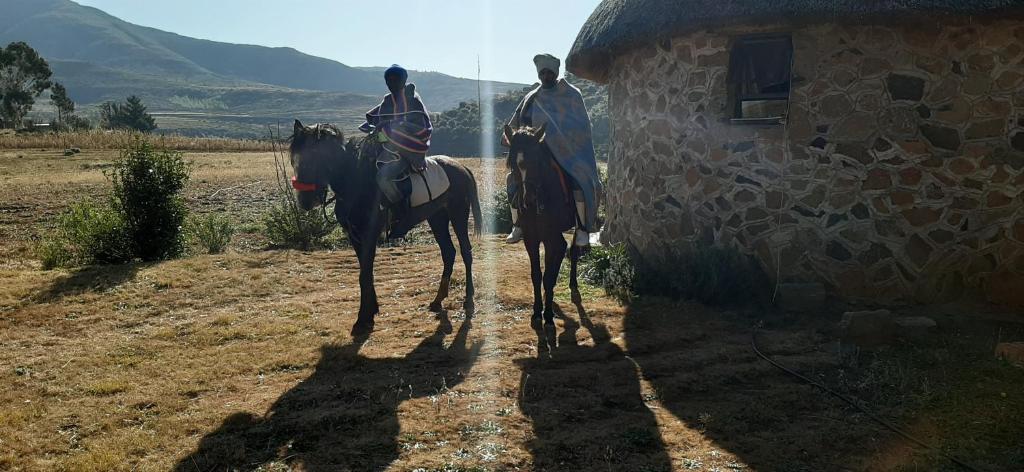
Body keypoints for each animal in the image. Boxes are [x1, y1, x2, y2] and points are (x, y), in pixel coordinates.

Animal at [288, 121, 479, 335]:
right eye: (294, 158)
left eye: (315, 155)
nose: (305, 201)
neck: (354, 180)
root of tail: (461, 167)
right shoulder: (354, 236)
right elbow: (365, 272)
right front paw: (370, 312)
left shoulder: (369, 234)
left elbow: (365, 274)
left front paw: (362, 319)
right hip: (437, 218)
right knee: (448, 252)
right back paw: (437, 300)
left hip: (458, 214)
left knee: (466, 252)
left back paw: (468, 300)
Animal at [501, 123, 581, 325]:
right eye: (512, 164)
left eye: (536, 160)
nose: (528, 200)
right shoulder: (532, 238)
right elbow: (537, 275)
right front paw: (538, 311)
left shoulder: (552, 238)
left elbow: (549, 276)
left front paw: (549, 314)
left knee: (573, 250)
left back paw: (573, 285)